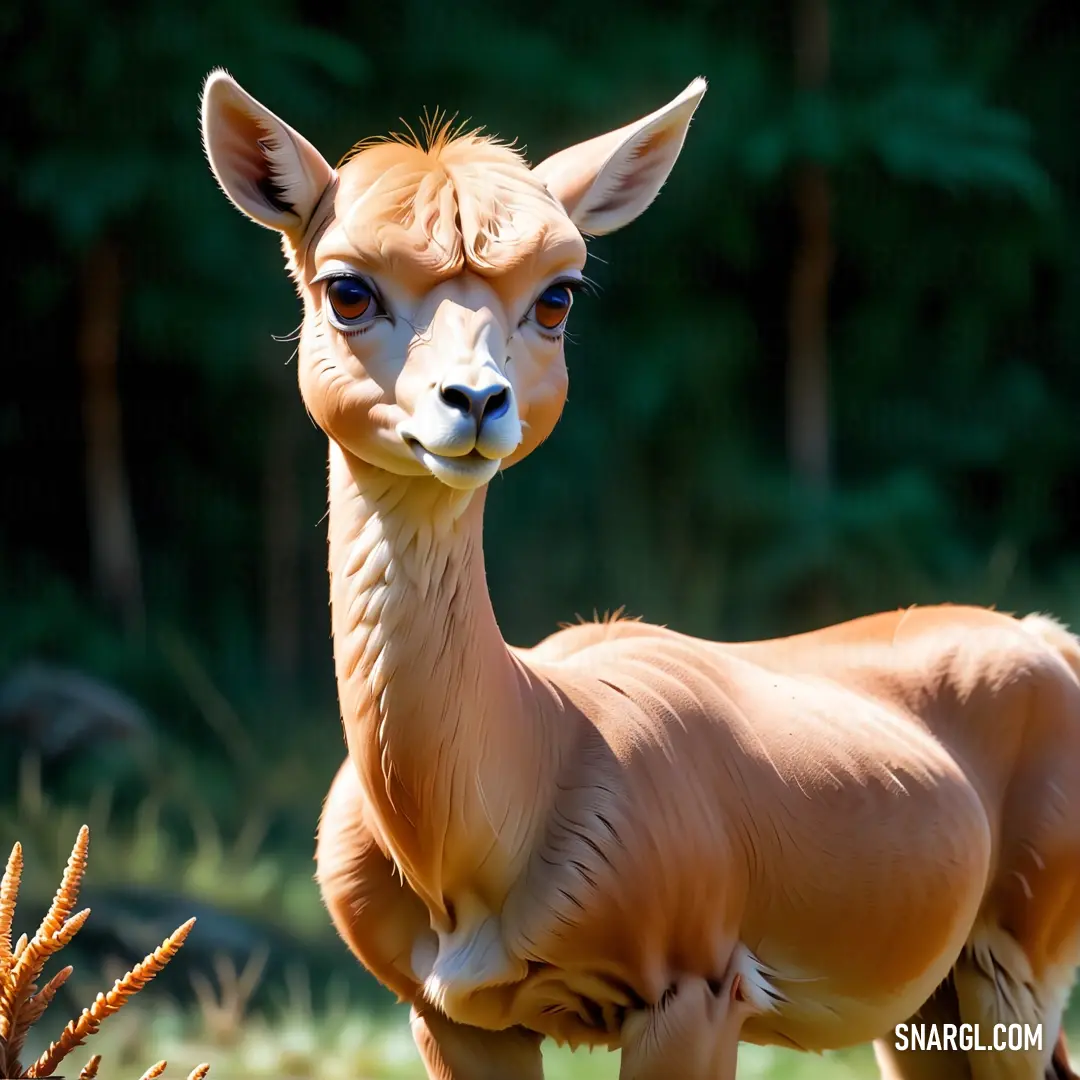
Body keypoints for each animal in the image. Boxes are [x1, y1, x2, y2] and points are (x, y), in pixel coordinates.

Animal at [198, 71, 1075, 1075]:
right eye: (346, 290)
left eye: (557, 296)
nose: (476, 401)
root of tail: (1050, 640)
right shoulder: (447, 1011)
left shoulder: (695, 987)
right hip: (925, 1002)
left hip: (1023, 956)